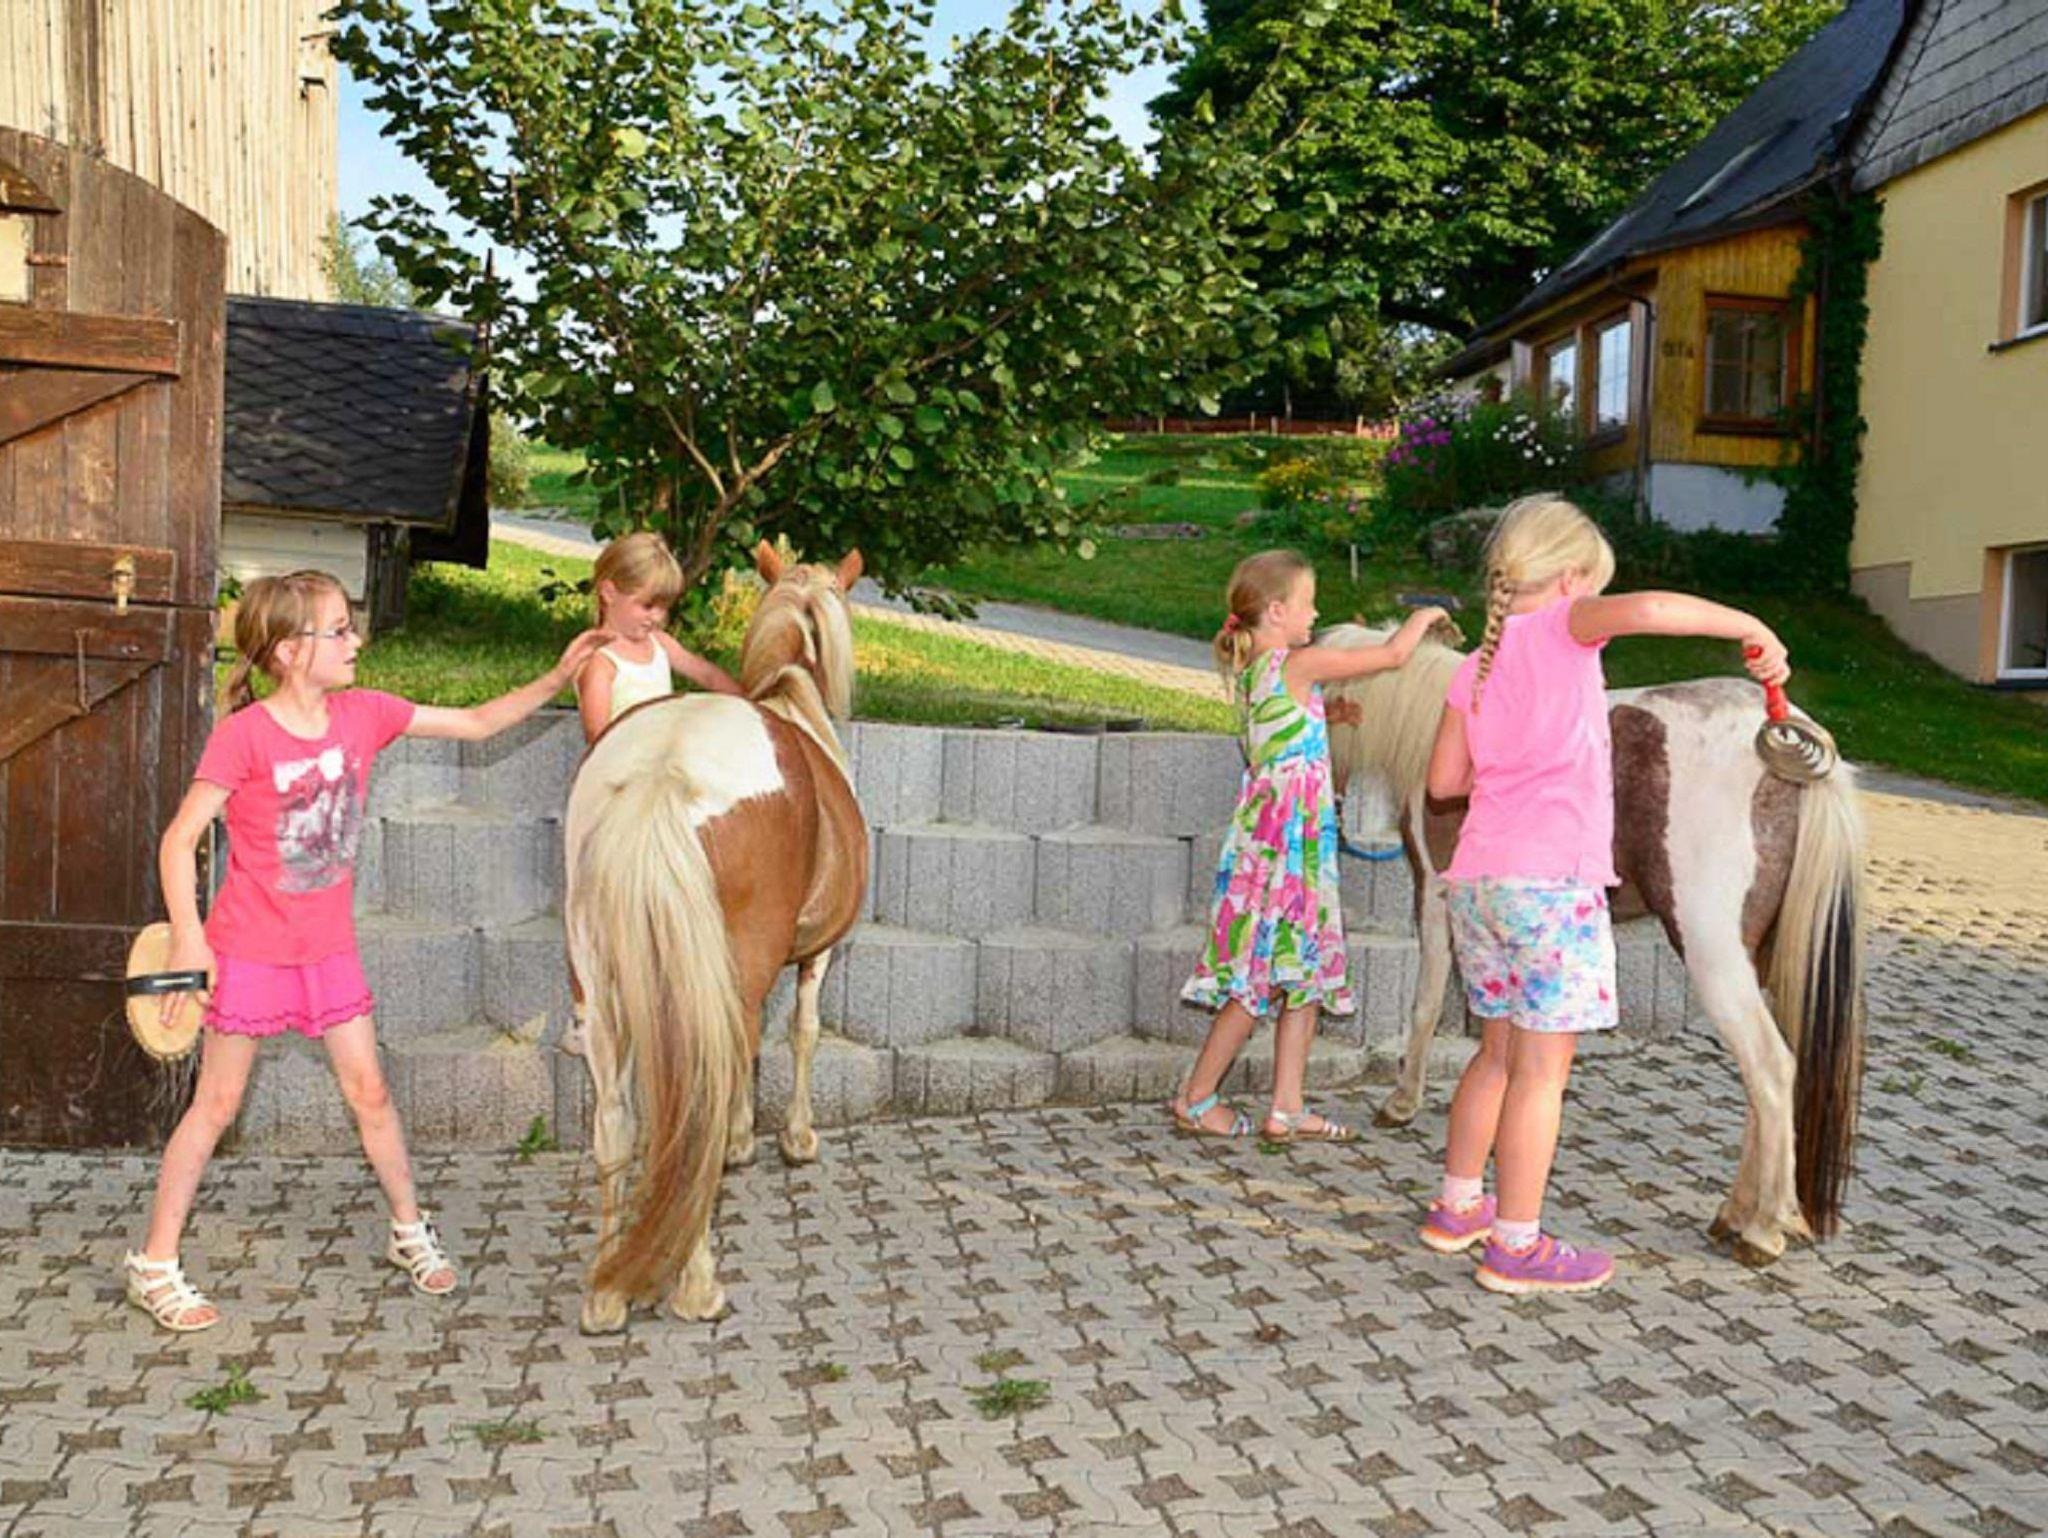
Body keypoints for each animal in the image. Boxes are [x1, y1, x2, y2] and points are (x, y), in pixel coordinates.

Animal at [562, 543, 868, 1331]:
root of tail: (660, 774)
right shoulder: (813, 957)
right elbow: (797, 1034)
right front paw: (785, 1139)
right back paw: (696, 1286)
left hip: (600, 986)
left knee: (617, 1121)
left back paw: (605, 1291)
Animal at [1319, 624, 1865, 1266]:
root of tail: (1786, 746)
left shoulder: (1436, 894)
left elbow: (1426, 1004)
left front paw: (1402, 1102)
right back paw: (1738, 1214)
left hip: (1715, 957)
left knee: (1772, 1068)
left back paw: (1762, 1230)